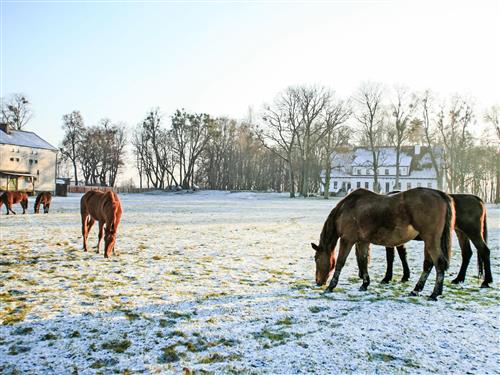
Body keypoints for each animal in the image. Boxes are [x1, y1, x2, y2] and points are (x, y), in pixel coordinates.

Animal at [312, 189, 458, 302]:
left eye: (316, 259)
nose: (318, 281)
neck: (347, 208)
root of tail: (439, 194)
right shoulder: (363, 241)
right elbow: (363, 261)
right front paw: (365, 284)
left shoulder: (347, 240)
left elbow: (340, 263)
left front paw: (330, 287)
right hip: (429, 242)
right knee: (428, 264)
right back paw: (416, 290)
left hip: (431, 240)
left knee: (439, 263)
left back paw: (434, 294)